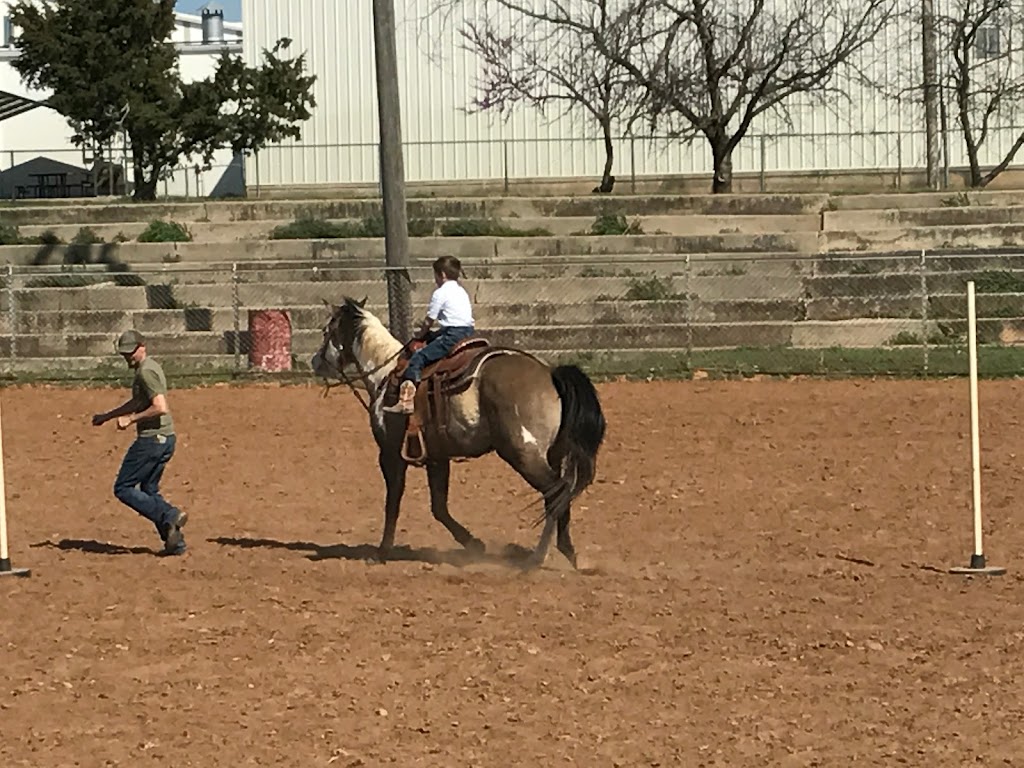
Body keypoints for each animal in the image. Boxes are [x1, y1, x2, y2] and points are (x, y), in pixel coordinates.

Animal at [307, 296, 602, 573]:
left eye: (326, 330)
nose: (315, 361)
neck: (386, 374)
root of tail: (550, 374)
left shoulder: (390, 454)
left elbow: (393, 504)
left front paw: (381, 552)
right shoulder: (437, 456)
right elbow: (439, 507)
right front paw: (474, 544)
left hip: (523, 453)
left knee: (555, 493)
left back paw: (537, 558)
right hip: (552, 454)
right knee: (563, 493)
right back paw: (567, 552)